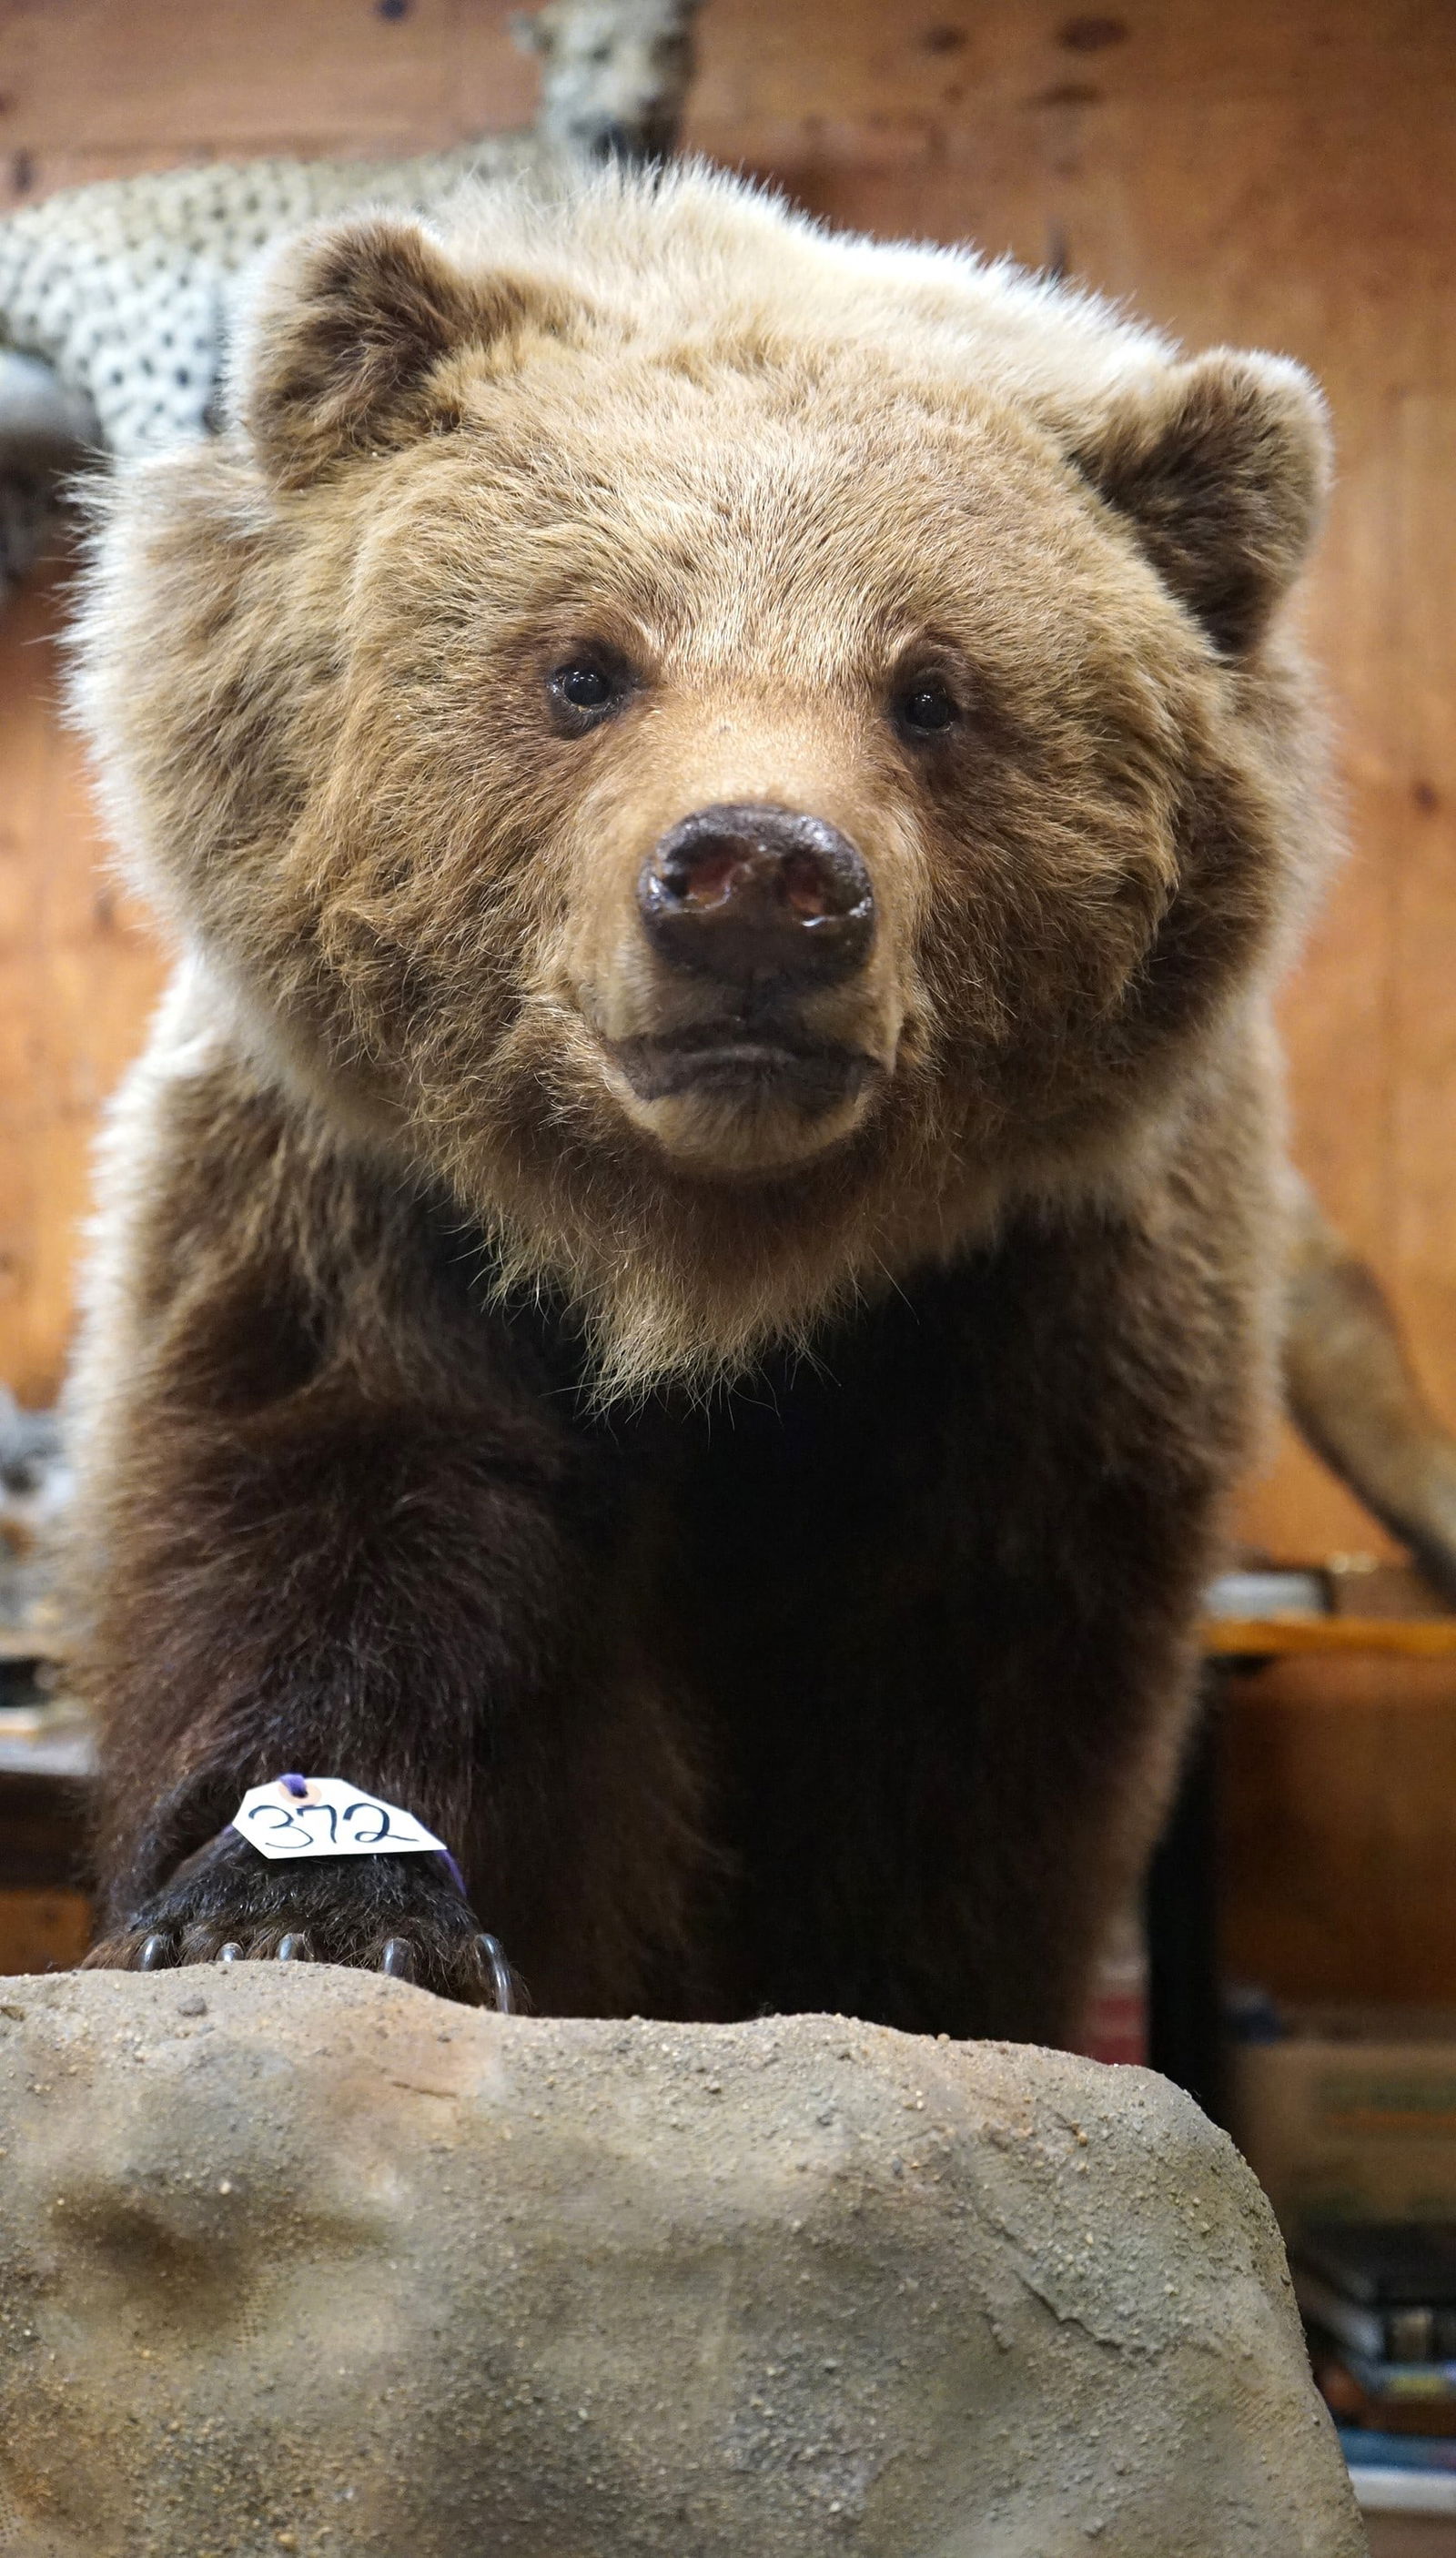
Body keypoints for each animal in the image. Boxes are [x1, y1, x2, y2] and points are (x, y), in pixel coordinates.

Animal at [66, 161, 1333, 2038]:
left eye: (936, 690)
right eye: (585, 665)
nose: (757, 878)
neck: (697, 1269)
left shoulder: (1038, 1299)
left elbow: (964, 1712)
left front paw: (896, 1991)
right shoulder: (367, 1198)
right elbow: (333, 1502)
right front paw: (304, 1912)